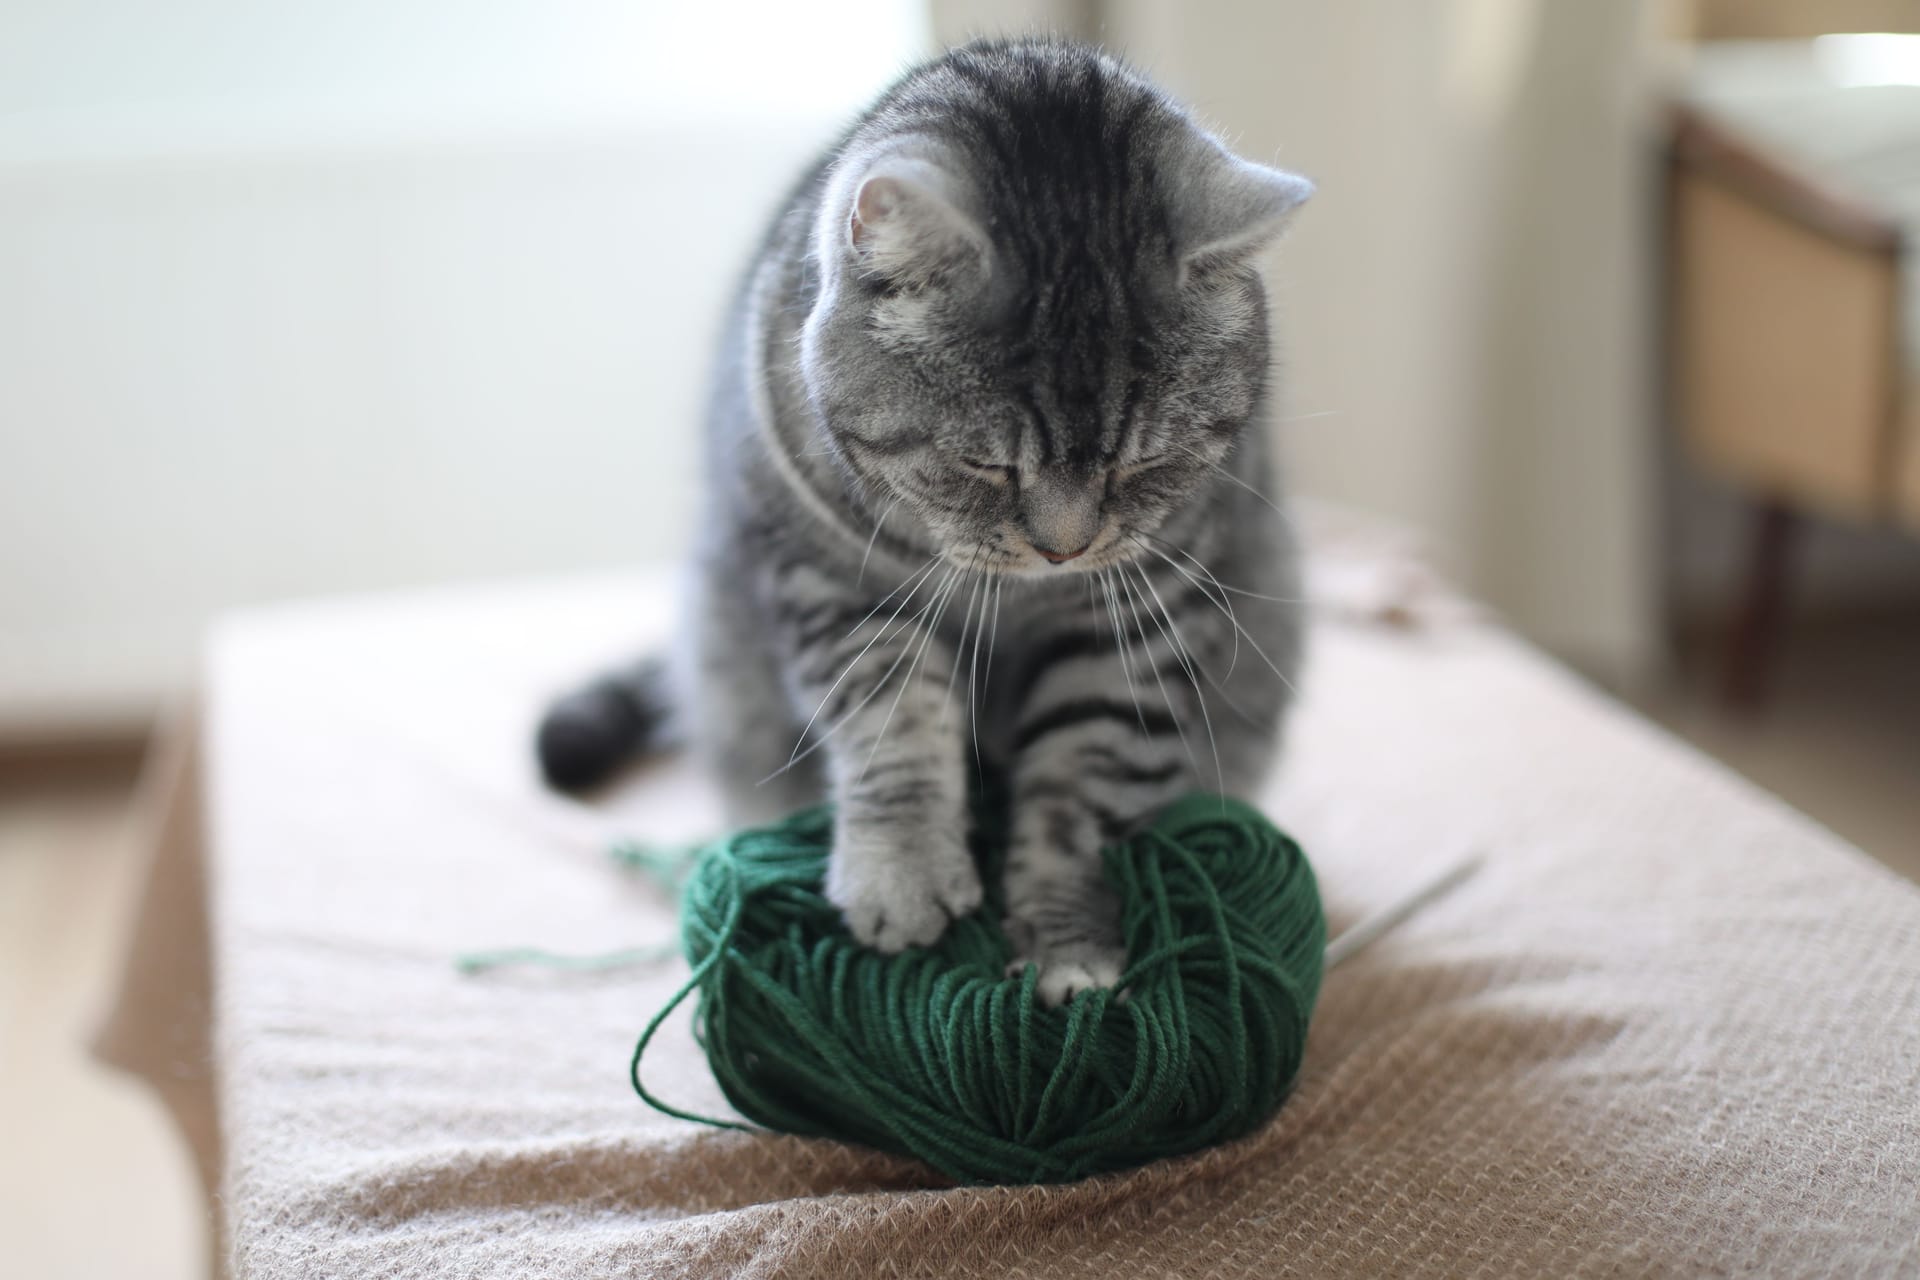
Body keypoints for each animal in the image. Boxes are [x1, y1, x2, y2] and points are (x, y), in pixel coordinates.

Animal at [541, 37, 1320, 997]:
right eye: (984, 464)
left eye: (1143, 463)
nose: (1063, 550)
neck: (1021, 595)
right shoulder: (833, 585)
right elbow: (896, 724)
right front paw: (903, 881)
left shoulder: (1140, 618)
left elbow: (1077, 788)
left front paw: (1067, 945)